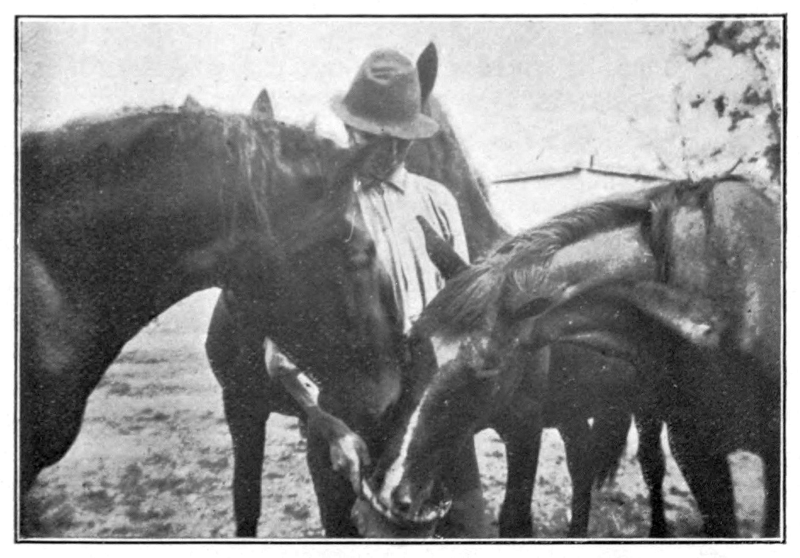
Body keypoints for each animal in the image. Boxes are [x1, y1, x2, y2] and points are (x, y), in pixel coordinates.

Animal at [355, 177, 782, 538]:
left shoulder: (525, 429)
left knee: (648, 465)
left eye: (488, 368)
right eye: (411, 341)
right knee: (586, 468)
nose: (387, 489)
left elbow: (515, 520)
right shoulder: (697, 451)